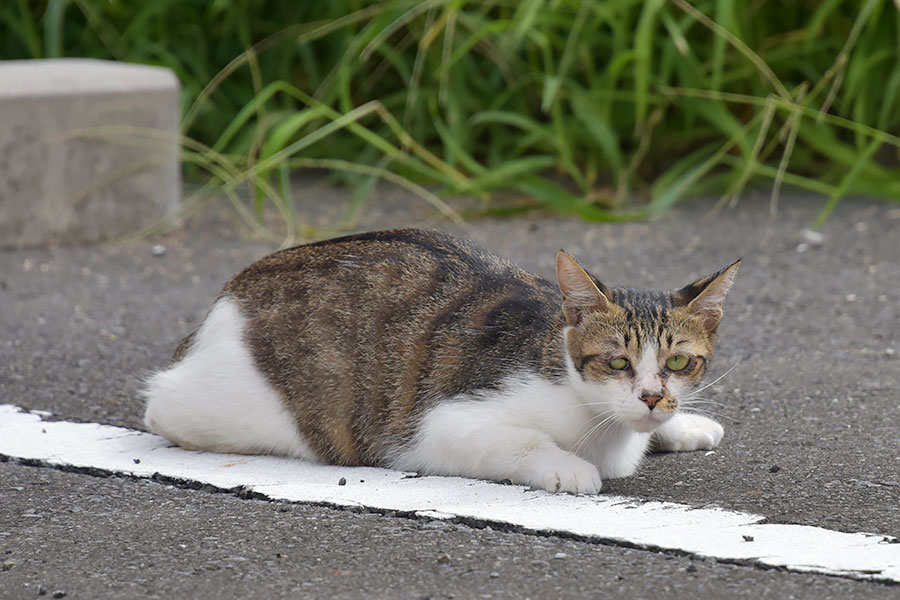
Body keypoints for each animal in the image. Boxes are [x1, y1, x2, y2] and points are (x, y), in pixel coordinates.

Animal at [146, 229, 740, 492]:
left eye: (679, 364)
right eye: (617, 364)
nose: (652, 397)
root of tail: (229, 294)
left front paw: (682, 425)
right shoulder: (435, 425)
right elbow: (524, 442)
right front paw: (570, 467)